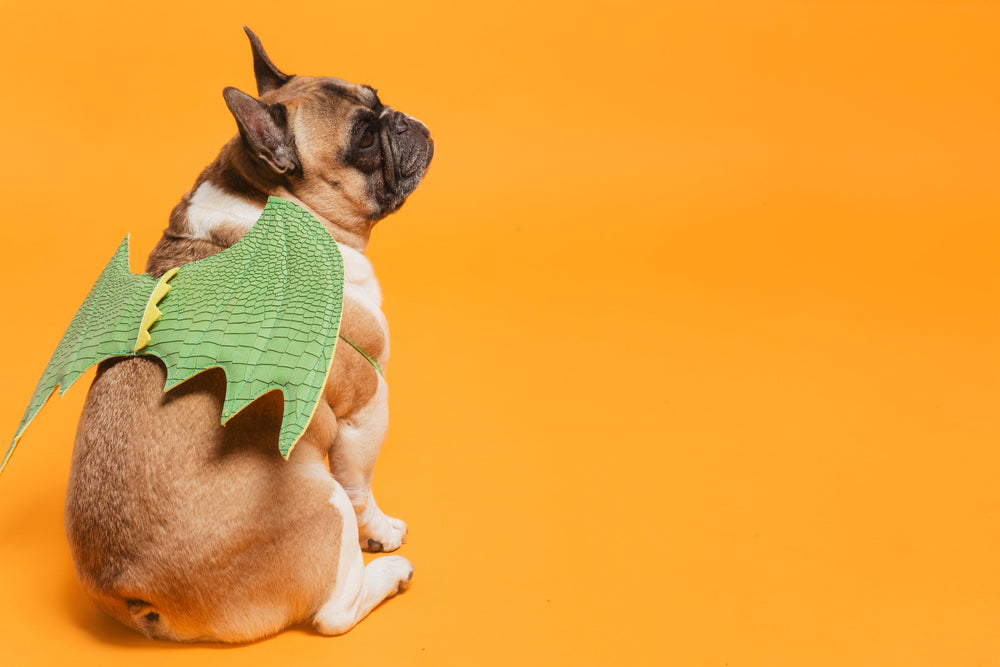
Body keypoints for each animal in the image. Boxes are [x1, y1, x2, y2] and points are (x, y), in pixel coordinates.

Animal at [62, 28, 434, 644]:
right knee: (333, 612)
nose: (400, 120)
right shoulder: (367, 401)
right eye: (363, 139)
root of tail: (134, 592)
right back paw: (390, 575)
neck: (272, 204)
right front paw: (381, 533)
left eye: (377, 99)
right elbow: (363, 485)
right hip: (321, 500)